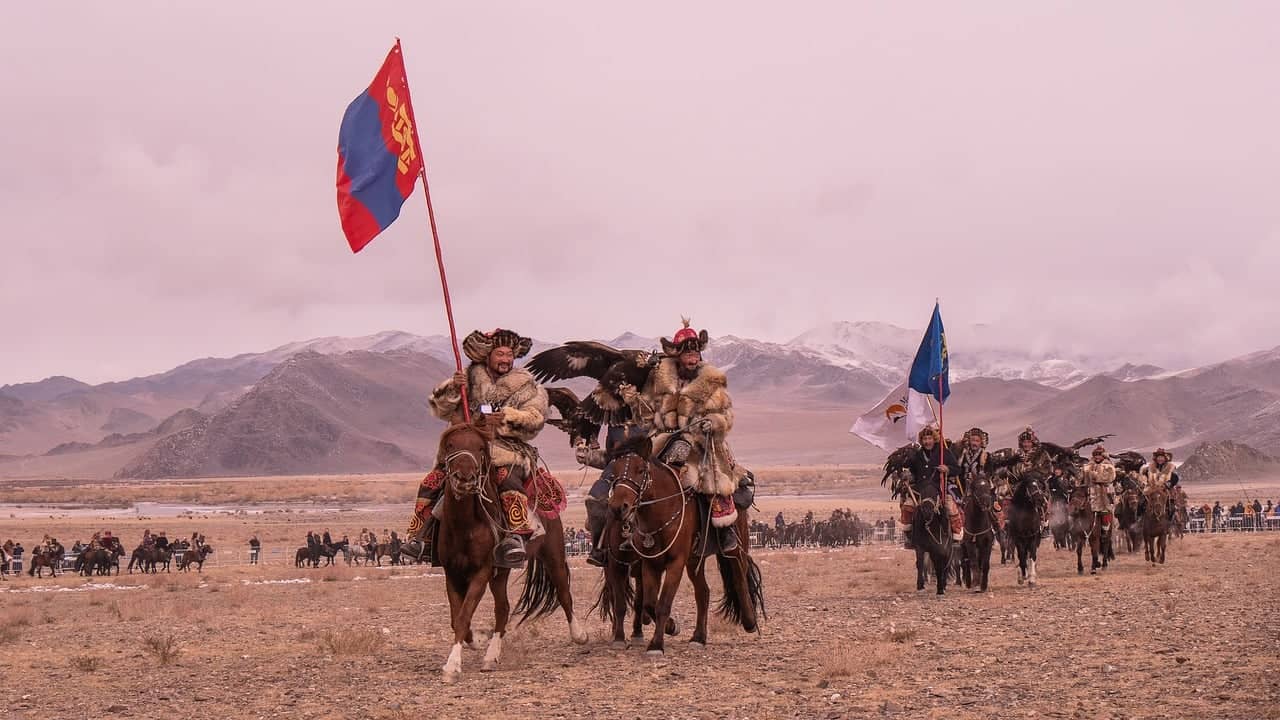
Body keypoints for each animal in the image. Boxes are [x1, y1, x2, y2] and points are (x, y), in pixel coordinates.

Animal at [432, 417, 586, 681]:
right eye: (451, 445)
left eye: (480, 448)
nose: (465, 479)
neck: (465, 526)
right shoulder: (452, 573)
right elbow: (458, 617)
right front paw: (476, 640)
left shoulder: (481, 572)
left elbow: (464, 615)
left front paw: (452, 666)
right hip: (501, 571)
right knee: (503, 608)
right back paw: (491, 656)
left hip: (553, 554)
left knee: (564, 593)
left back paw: (579, 635)